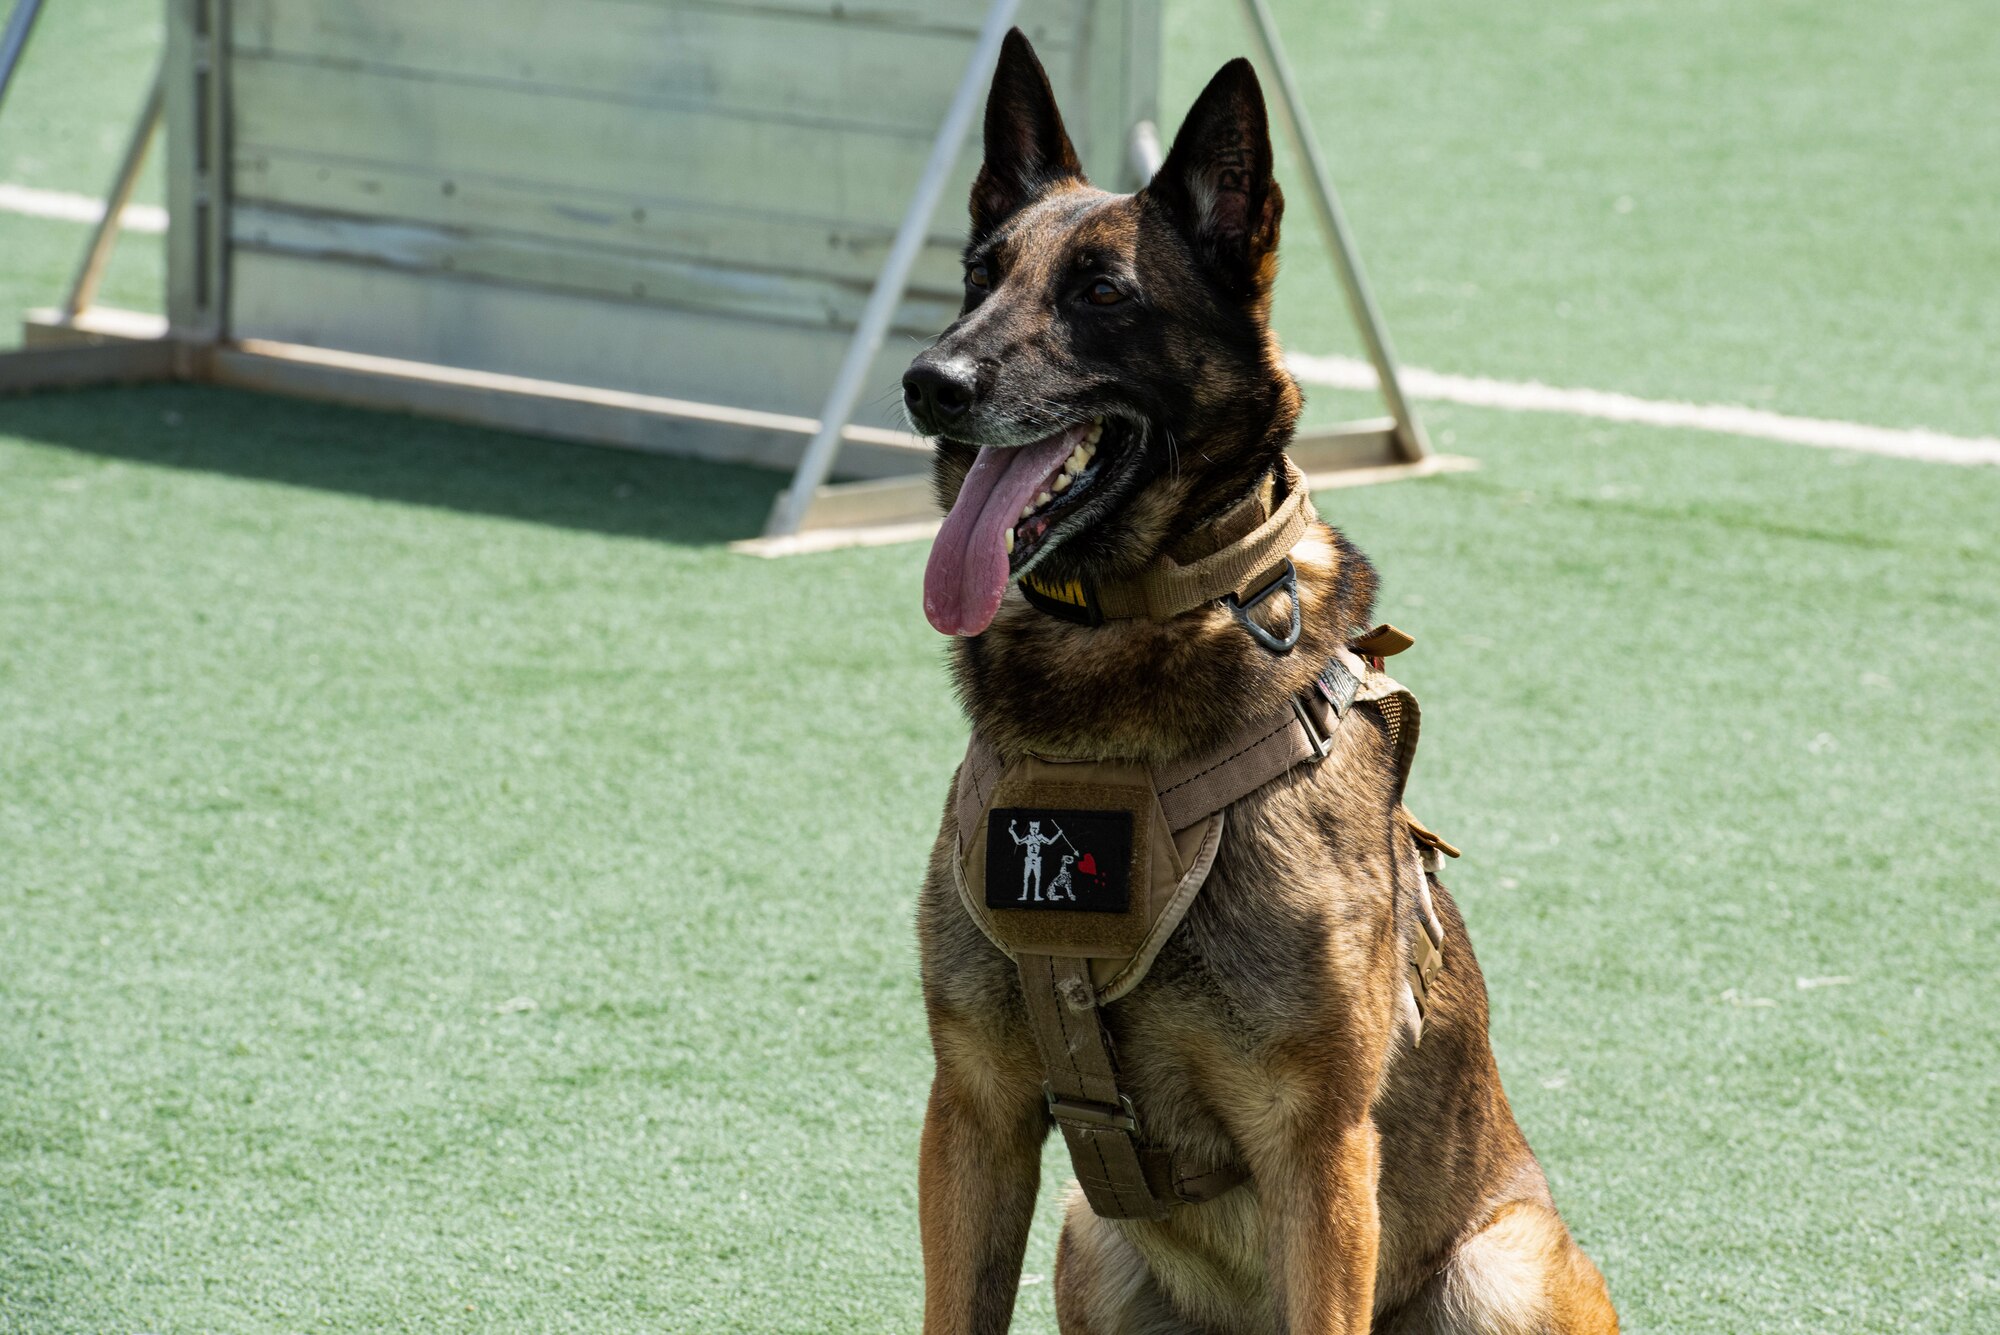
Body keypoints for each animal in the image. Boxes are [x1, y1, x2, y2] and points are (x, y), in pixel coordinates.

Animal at [908, 31, 1624, 1335]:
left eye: (1101, 293)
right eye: (978, 275)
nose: (929, 382)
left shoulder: (1317, 1148)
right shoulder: (974, 1112)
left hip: (1495, 1271)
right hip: (1089, 1240)